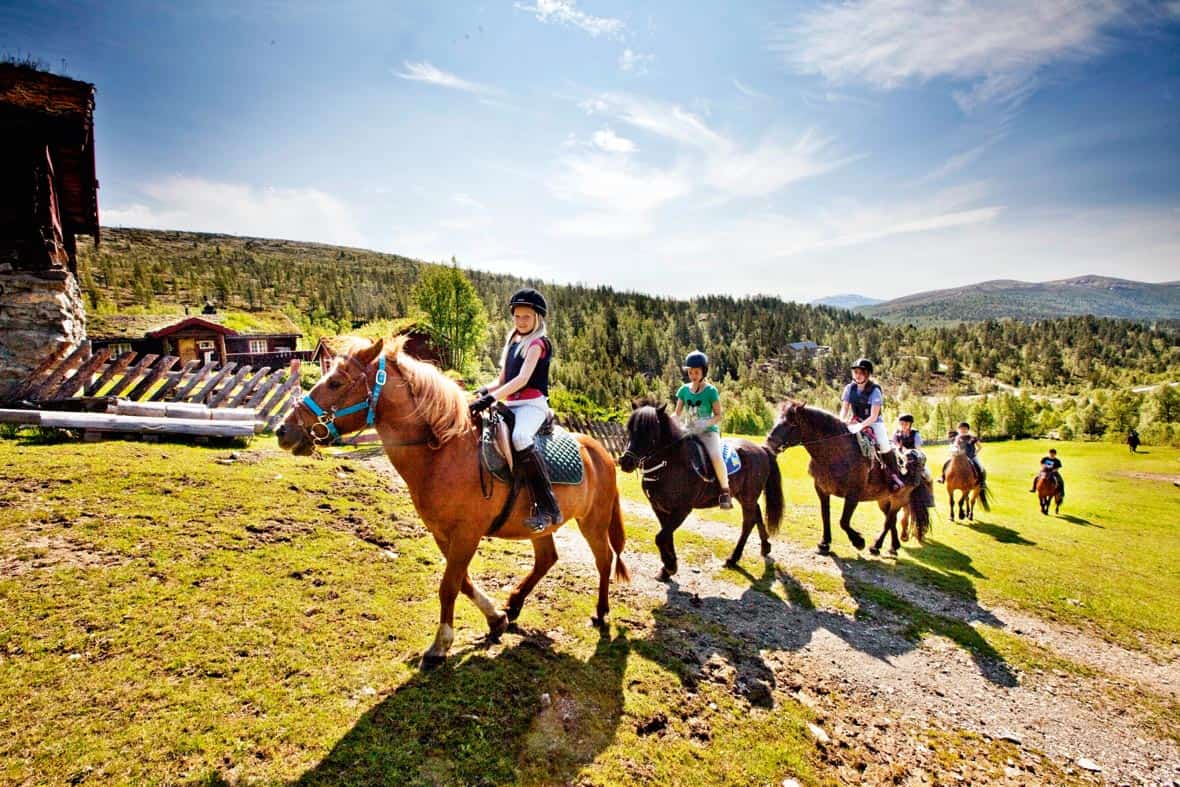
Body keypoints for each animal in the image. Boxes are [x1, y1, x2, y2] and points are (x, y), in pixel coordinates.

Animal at [276, 339, 627, 670]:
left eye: (335, 382)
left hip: (593, 522)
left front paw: (440, 646)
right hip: (540, 525)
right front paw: (495, 618)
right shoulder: (443, 533)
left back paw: (600, 612)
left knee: (604, 560)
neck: (444, 451)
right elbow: (462, 582)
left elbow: (448, 586)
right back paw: (514, 605)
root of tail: (600, 452)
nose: (283, 430)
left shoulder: (466, 534)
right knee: (547, 559)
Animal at [618, 403, 783, 582]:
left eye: (650, 432)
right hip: (746, 497)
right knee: (757, 514)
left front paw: (670, 567)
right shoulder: (659, 508)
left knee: (748, 523)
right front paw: (668, 567)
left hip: (748, 497)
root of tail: (761, 449)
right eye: (629, 429)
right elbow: (666, 536)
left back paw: (733, 559)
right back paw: (765, 547)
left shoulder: (682, 510)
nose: (626, 461)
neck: (670, 463)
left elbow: (661, 537)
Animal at [764, 403, 929, 556]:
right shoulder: (822, 490)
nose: (769, 443)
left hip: (898, 498)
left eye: (792, 424)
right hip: (883, 499)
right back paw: (893, 547)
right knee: (891, 519)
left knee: (889, 521)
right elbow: (825, 515)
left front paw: (858, 541)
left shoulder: (853, 495)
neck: (838, 454)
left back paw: (876, 546)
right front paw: (825, 543)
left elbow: (843, 521)